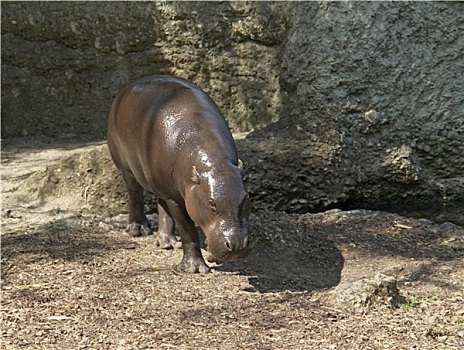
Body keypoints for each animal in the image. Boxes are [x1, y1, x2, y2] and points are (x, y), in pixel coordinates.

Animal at [107, 76, 254, 274]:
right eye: (211, 203)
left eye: (245, 198)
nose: (237, 245)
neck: (215, 164)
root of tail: (127, 88)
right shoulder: (176, 198)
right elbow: (187, 230)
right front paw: (194, 268)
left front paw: (213, 257)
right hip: (128, 169)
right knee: (135, 194)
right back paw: (138, 230)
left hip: (160, 179)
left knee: (161, 204)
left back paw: (168, 242)